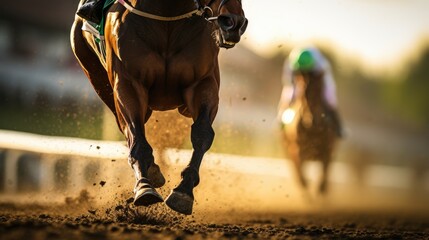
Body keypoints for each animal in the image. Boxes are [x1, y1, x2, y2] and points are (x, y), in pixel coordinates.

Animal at [68, 0, 246, 214]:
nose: (234, 22)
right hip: (98, 78)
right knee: (127, 129)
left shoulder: (203, 83)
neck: (168, 18)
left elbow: (202, 134)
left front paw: (183, 191)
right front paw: (144, 187)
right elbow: (137, 139)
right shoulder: (128, 83)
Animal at [278, 47, 342, 195]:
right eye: (303, 94)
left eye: (319, 91)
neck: (314, 128)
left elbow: (322, 185)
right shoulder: (297, 151)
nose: (312, 119)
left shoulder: (328, 151)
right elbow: (303, 181)